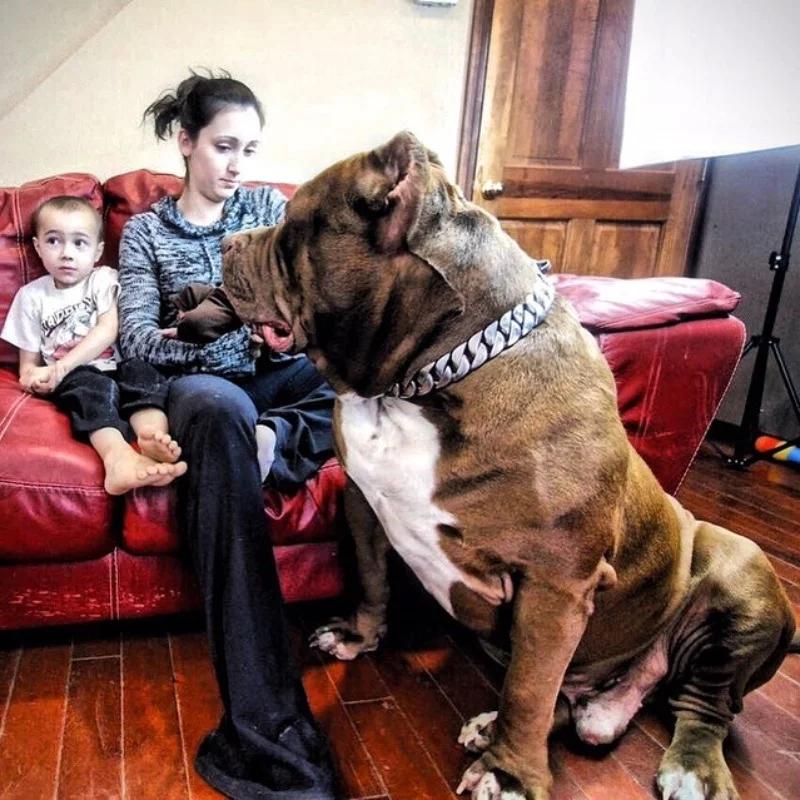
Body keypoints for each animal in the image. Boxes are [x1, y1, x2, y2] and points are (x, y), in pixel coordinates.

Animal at [221, 131, 798, 800]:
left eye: (291, 227)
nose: (228, 242)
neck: (421, 384)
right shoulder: (365, 504)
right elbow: (370, 578)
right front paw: (357, 636)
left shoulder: (557, 584)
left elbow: (529, 686)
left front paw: (510, 773)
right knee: (586, 704)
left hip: (740, 570)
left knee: (705, 704)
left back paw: (688, 767)